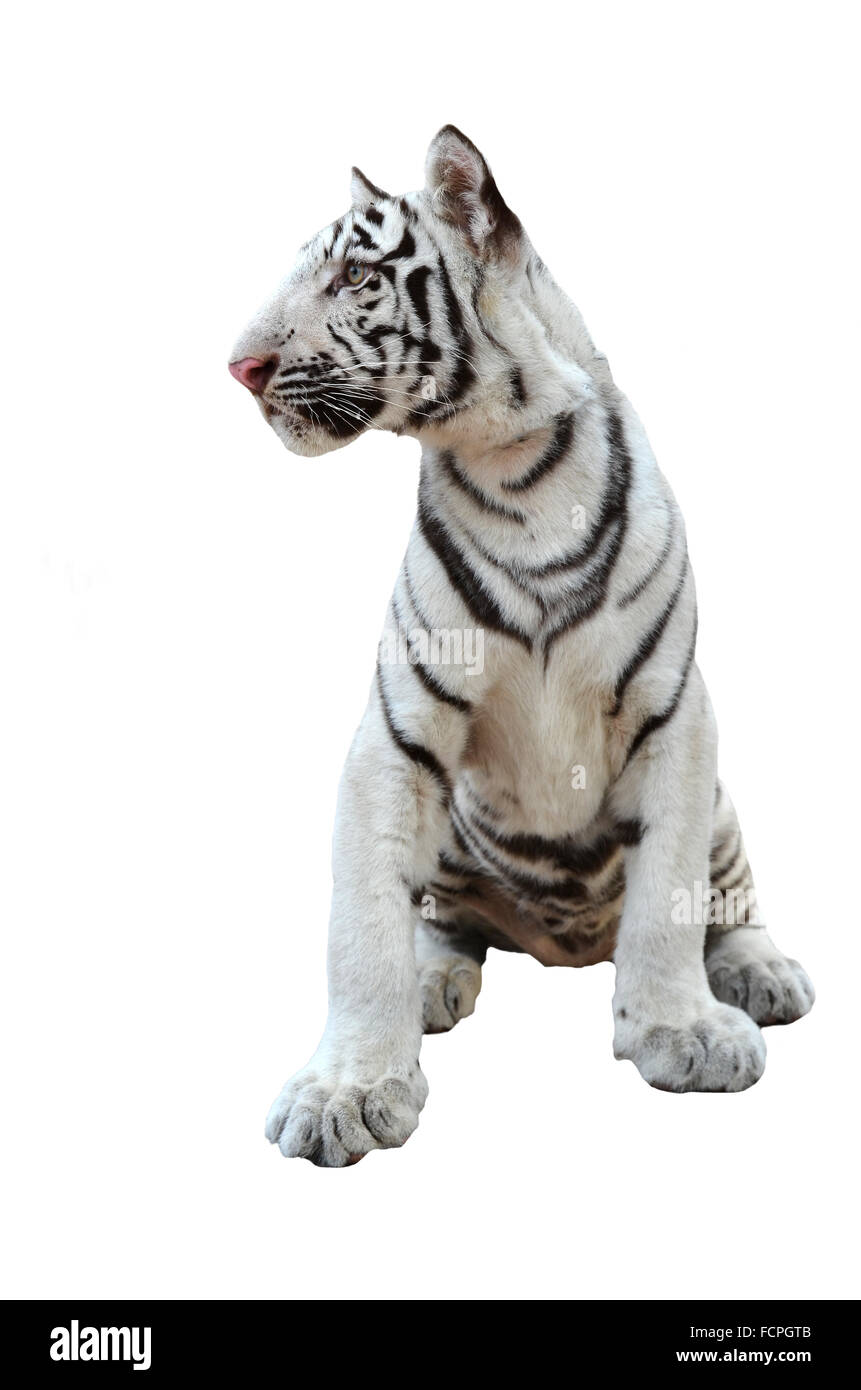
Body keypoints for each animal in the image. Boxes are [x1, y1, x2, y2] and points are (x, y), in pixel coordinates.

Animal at [229, 126, 814, 1167]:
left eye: (353, 276)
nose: (238, 366)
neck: (516, 471)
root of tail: (563, 946)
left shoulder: (677, 716)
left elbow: (667, 901)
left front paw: (681, 1030)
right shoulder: (395, 736)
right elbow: (361, 928)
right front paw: (346, 1092)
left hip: (725, 816)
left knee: (727, 901)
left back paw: (760, 973)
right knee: (438, 923)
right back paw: (431, 982)